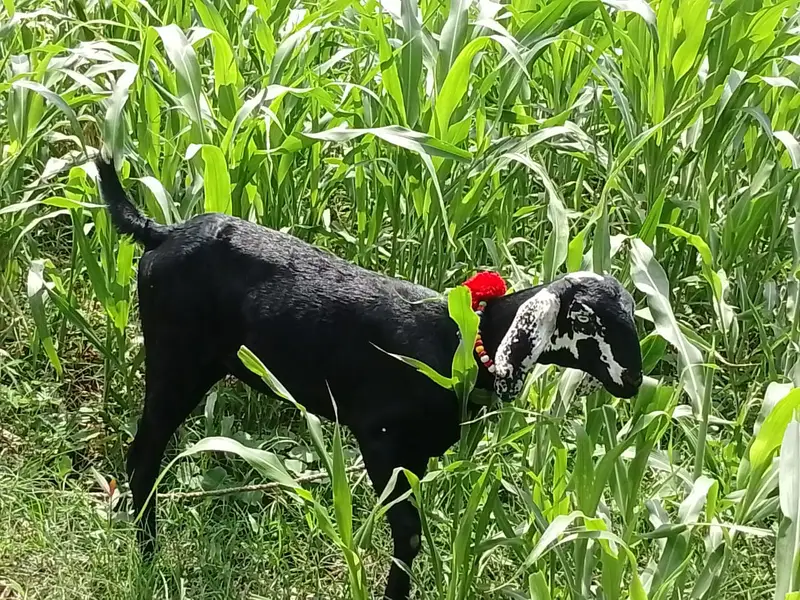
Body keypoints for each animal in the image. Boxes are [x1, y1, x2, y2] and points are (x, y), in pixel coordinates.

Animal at [95, 155, 643, 600]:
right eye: (586, 319)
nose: (634, 380)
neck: (459, 341)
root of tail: (162, 233)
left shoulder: (417, 455)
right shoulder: (380, 438)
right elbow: (407, 534)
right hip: (176, 363)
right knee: (144, 456)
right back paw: (149, 558)